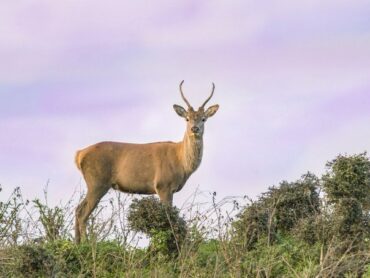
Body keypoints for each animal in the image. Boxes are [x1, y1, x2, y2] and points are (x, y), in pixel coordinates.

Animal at [75, 81, 220, 243]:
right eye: (187, 118)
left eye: (203, 118)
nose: (194, 128)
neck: (182, 164)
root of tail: (79, 154)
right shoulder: (163, 184)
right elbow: (168, 218)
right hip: (97, 182)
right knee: (82, 213)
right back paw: (86, 244)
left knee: (77, 209)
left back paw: (76, 243)